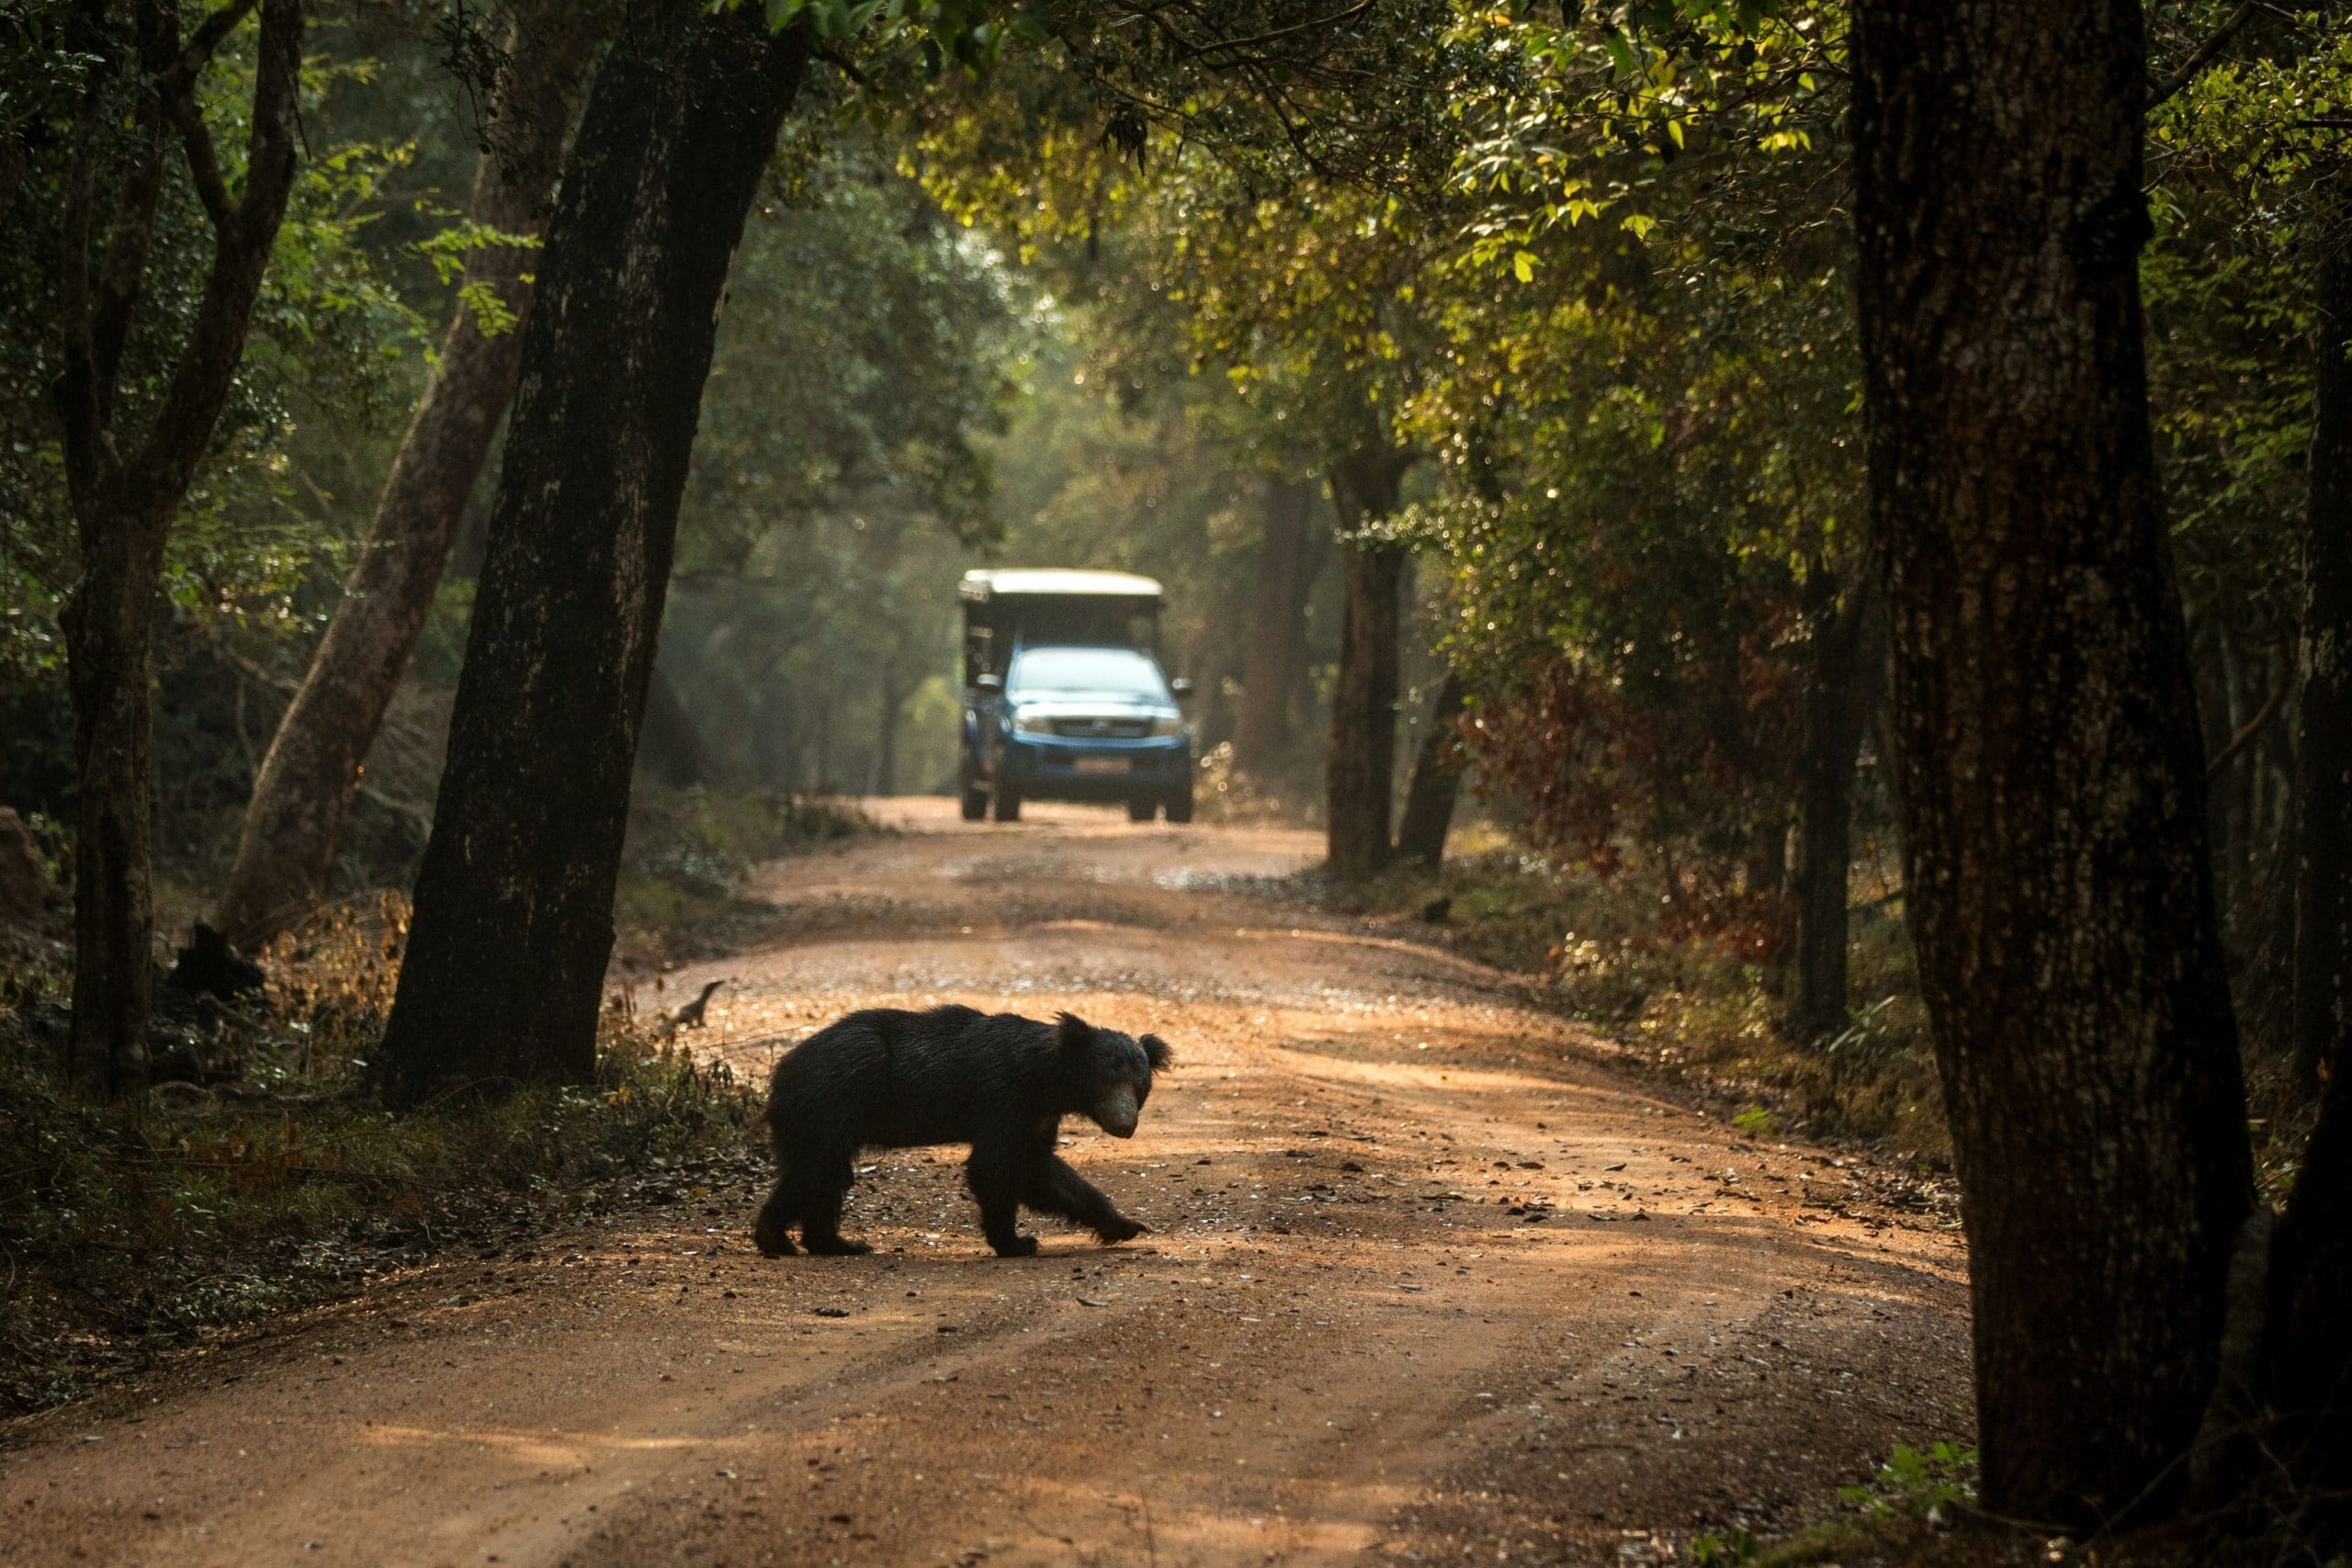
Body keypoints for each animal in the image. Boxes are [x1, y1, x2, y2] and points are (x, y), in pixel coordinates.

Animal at [757, 1006, 1170, 1259]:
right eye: (1106, 1082)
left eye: (1139, 1088)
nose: (1125, 1126)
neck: (1045, 1080)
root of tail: (781, 1072)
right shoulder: (1002, 1097)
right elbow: (994, 1167)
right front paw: (1017, 1243)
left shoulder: (1036, 1116)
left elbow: (1040, 1171)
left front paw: (1127, 1226)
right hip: (831, 1100)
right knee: (813, 1171)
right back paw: (776, 1239)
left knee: (830, 1177)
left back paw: (837, 1243)